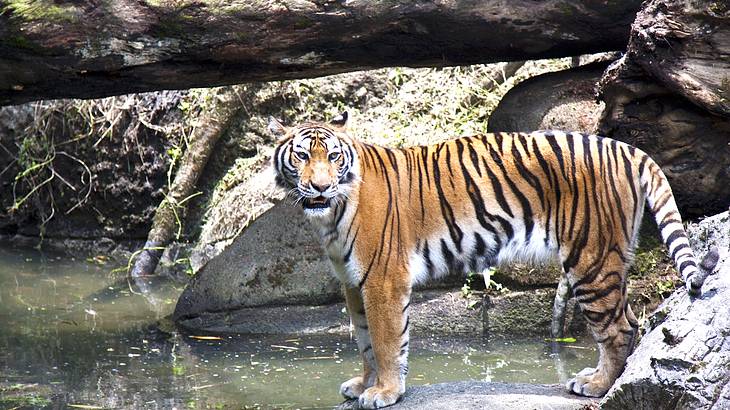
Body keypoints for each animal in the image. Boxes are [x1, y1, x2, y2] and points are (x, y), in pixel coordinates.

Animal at [268, 110, 716, 408]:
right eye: (302, 156)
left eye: (333, 157)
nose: (320, 187)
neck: (330, 216)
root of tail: (625, 148)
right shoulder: (352, 281)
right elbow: (363, 341)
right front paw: (364, 385)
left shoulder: (382, 279)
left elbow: (385, 340)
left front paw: (386, 392)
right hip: (609, 259)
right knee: (629, 321)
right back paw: (595, 377)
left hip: (591, 259)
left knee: (619, 328)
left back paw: (597, 386)